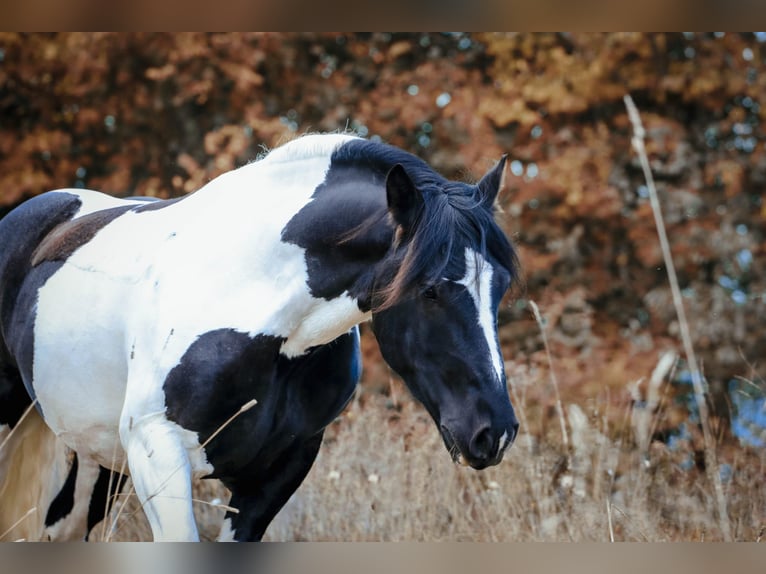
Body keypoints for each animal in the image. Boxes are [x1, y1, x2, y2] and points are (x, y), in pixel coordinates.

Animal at [0, 133, 520, 541]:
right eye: (430, 290)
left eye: (500, 288)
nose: (494, 432)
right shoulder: (157, 450)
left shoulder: (277, 471)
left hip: (93, 462)